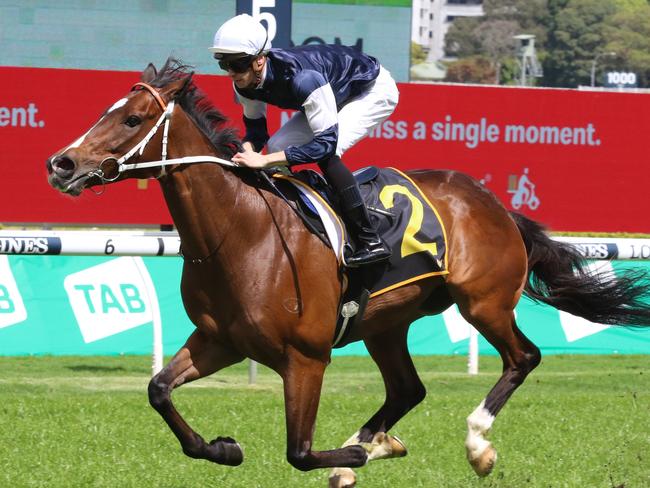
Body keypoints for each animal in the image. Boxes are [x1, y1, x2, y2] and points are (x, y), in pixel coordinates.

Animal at [45, 60, 648, 484]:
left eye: (132, 119)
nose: (61, 164)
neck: (239, 233)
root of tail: (495, 203)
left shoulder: (306, 357)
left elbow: (298, 450)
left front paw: (354, 452)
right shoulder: (221, 340)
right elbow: (158, 390)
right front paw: (225, 448)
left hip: (484, 302)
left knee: (523, 357)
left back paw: (473, 444)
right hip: (387, 323)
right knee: (408, 389)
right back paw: (375, 442)